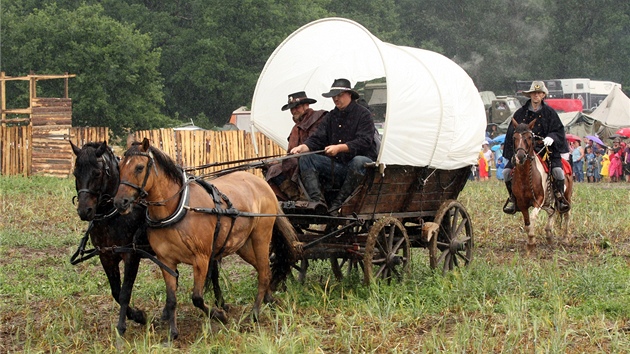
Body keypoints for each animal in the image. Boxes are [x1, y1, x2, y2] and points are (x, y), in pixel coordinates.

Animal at [69, 140, 152, 334]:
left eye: (97, 173)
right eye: (76, 173)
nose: (84, 211)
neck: (113, 215)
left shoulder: (131, 255)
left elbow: (125, 293)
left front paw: (123, 326)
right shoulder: (106, 256)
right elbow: (116, 292)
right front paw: (138, 316)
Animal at [113, 137, 302, 338]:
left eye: (139, 167)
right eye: (120, 167)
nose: (120, 202)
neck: (179, 208)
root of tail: (262, 184)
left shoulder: (201, 258)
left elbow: (197, 297)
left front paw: (219, 315)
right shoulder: (166, 261)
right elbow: (171, 299)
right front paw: (172, 333)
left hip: (261, 236)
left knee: (264, 272)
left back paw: (256, 312)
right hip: (242, 245)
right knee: (263, 269)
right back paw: (269, 299)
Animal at [512, 120, 572, 253]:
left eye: (529, 137)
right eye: (514, 137)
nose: (520, 156)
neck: (525, 177)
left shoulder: (538, 200)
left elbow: (533, 217)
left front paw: (531, 243)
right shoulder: (522, 203)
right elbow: (527, 224)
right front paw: (530, 243)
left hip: (566, 196)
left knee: (566, 214)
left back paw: (565, 238)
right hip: (547, 202)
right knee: (552, 211)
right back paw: (549, 234)